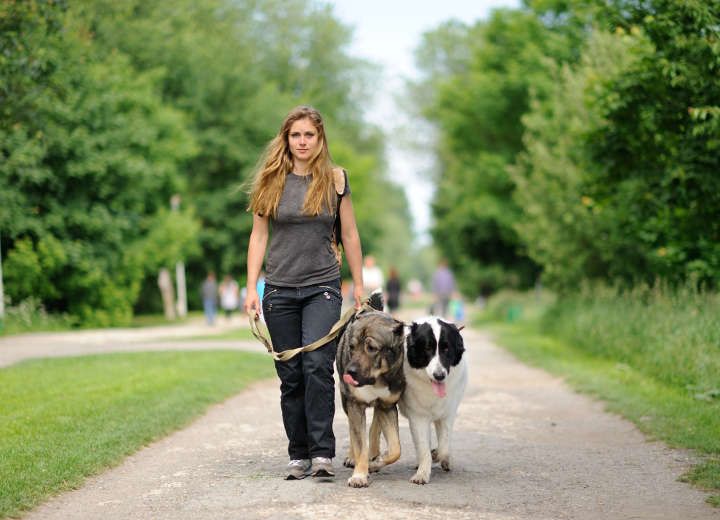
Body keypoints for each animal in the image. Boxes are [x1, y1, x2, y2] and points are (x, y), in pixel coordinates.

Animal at [336, 308, 404, 488]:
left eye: (372, 348)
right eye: (351, 347)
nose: (349, 371)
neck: (377, 379)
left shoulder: (387, 406)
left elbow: (396, 449)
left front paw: (375, 463)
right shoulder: (355, 404)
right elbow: (360, 444)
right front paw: (359, 474)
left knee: (375, 427)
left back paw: (374, 455)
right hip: (346, 401)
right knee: (353, 430)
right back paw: (353, 457)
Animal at [400, 314, 466, 486]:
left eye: (446, 348)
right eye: (427, 348)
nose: (439, 376)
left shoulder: (448, 414)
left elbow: (444, 446)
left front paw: (437, 455)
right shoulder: (418, 417)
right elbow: (423, 448)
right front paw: (422, 473)